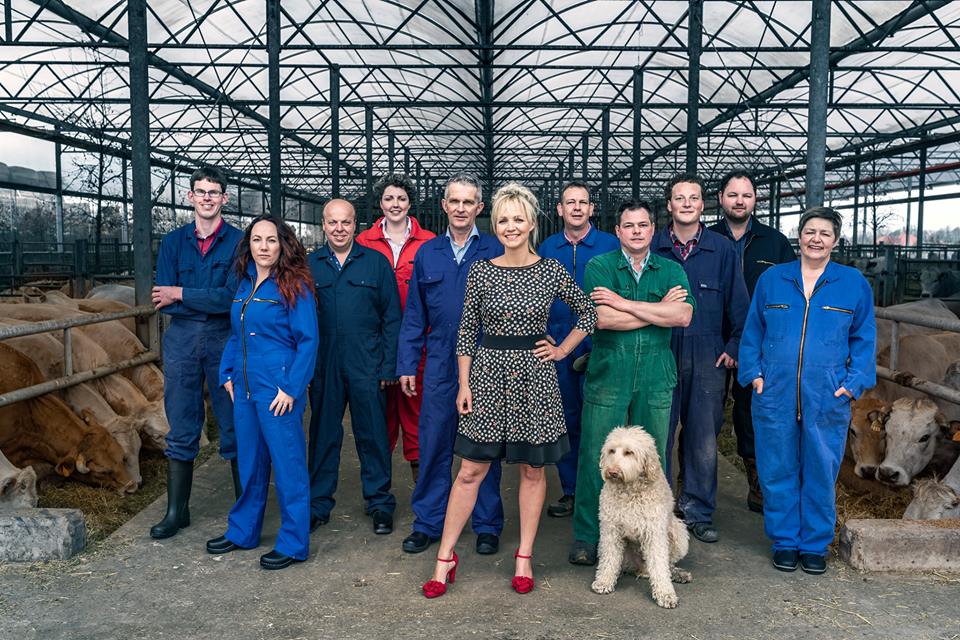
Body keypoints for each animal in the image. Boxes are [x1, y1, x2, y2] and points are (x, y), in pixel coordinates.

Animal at [591, 426, 691, 608]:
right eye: (611, 451)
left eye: (629, 452)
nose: (612, 472)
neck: (630, 490)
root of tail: (641, 569)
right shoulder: (611, 530)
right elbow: (609, 559)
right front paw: (604, 581)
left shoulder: (654, 533)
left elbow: (660, 565)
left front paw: (665, 594)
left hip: (679, 533)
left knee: (668, 564)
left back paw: (677, 574)